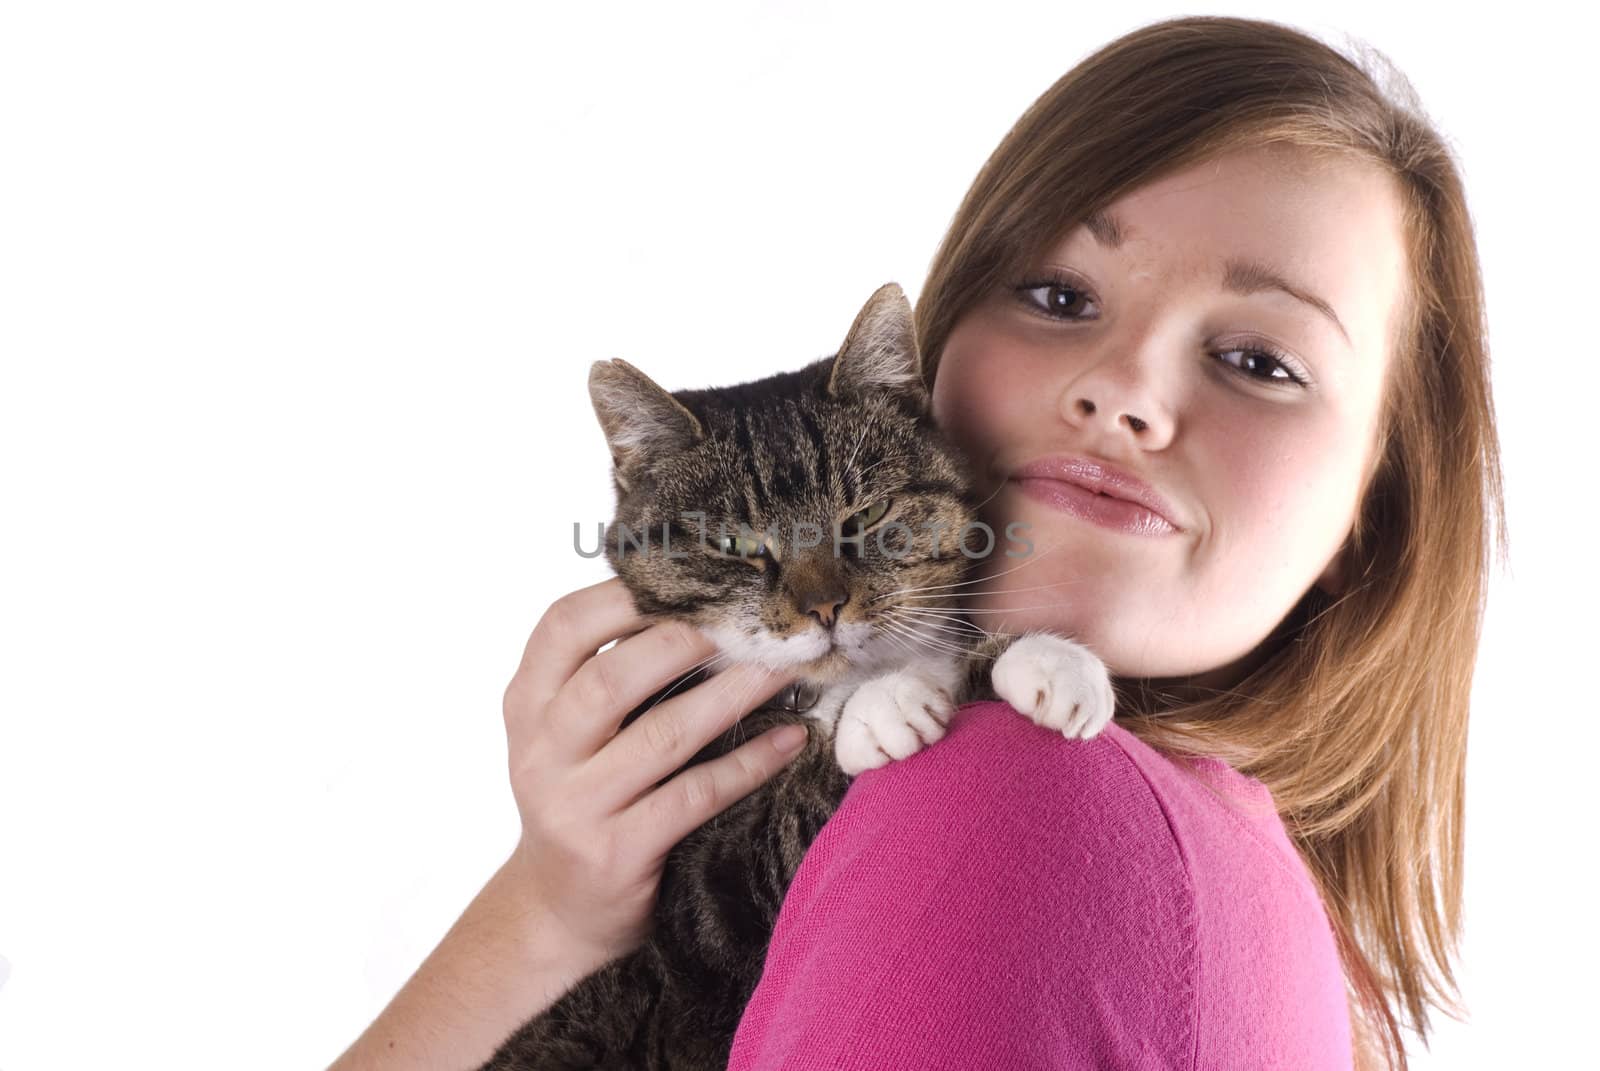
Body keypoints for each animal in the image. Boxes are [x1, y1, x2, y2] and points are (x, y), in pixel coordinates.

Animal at [480, 280, 1120, 1062]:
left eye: (868, 513)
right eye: (734, 543)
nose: (824, 607)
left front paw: (1044, 659)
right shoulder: (697, 909)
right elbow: (763, 839)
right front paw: (883, 707)